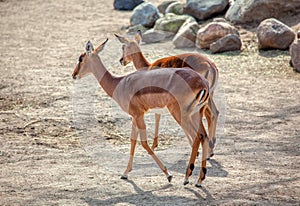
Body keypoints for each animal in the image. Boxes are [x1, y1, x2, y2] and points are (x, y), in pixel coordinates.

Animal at [71, 38, 210, 187]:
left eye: (81, 58)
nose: (74, 75)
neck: (119, 83)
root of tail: (203, 83)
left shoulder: (138, 115)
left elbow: (143, 143)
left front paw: (168, 175)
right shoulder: (134, 117)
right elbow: (132, 141)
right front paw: (125, 173)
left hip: (181, 115)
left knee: (196, 137)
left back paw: (187, 177)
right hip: (196, 115)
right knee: (204, 136)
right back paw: (199, 179)